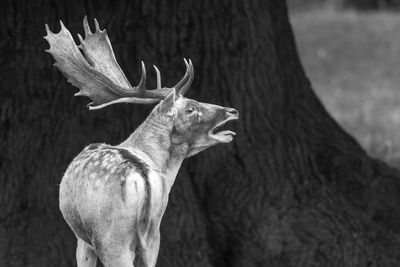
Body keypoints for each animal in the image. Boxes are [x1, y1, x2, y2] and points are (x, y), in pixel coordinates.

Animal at [44, 16, 238, 267]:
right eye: (191, 108)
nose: (232, 111)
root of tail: (142, 178)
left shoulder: (83, 241)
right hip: (153, 233)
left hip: (111, 238)